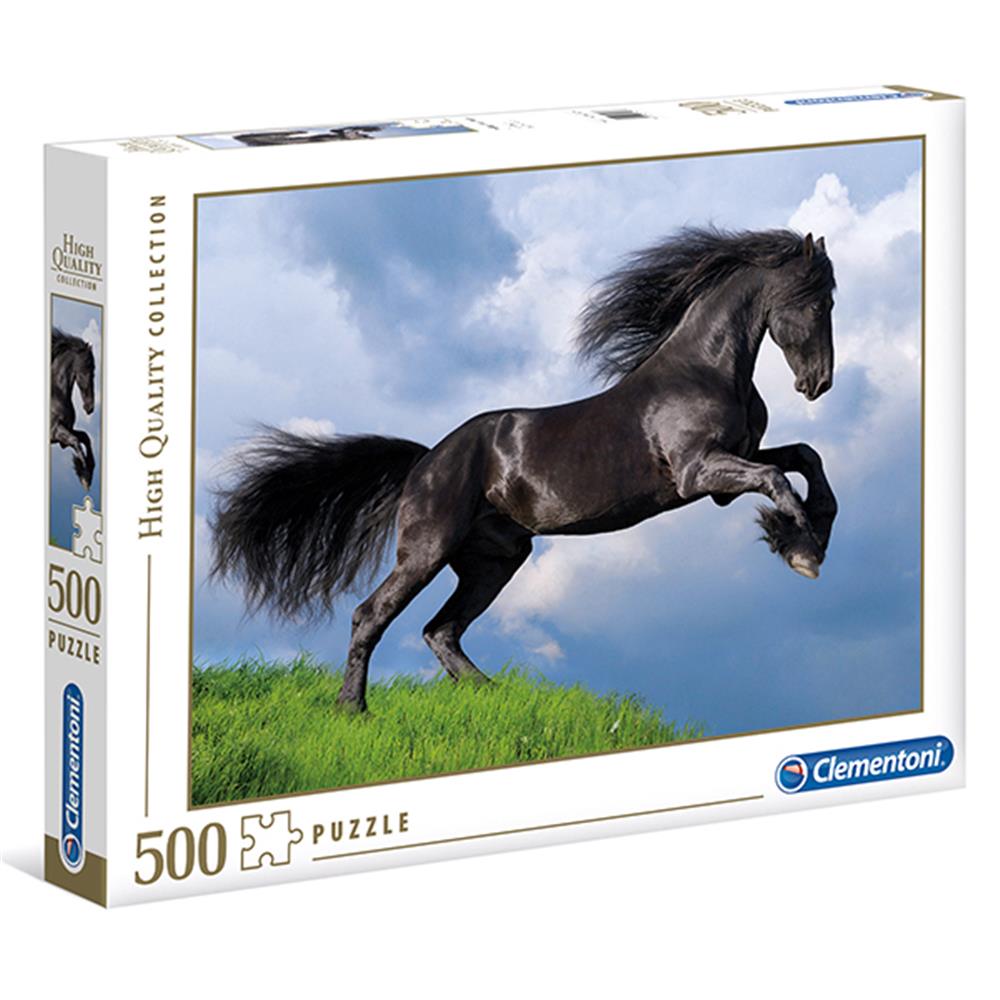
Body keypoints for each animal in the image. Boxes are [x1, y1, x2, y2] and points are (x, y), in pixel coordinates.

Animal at [50, 328, 97, 491]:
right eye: (89, 368)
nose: (90, 407)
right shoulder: (56, 431)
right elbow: (76, 441)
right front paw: (85, 478)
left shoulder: (67, 429)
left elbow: (85, 437)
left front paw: (89, 471)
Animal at [211, 227, 839, 713]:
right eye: (816, 302)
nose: (819, 383)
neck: (704, 370)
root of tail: (425, 460)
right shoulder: (698, 473)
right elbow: (779, 480)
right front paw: (802, 551)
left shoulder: (731, 469)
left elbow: (805, 459)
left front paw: (808, 537)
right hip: (428, 548)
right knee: (372, 615)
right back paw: (353, 709)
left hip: (494, 559)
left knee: (441, 630)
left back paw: (494, 696)